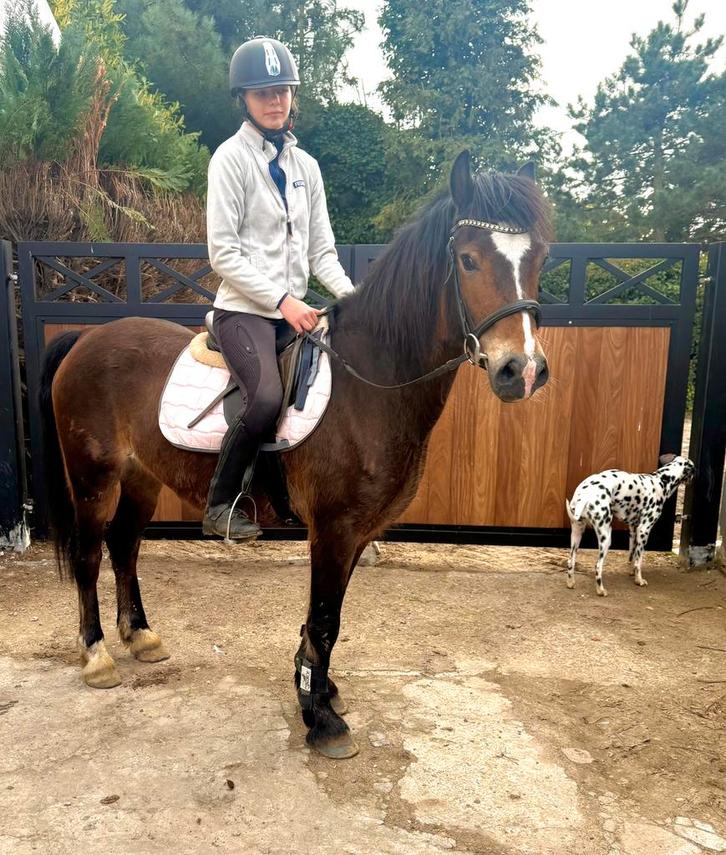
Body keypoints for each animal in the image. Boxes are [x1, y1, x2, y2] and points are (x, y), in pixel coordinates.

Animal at [39, 151, 553, 759]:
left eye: (539, 257)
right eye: (469, 260)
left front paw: (320, 691)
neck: (370, 383)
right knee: (90, 555)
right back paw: (97, 656)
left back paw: (141, 636)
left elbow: (327, 619)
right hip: (94, 479)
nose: (522, 371)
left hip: (142, 478)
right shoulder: (333, 528)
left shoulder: (357, 533)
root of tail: (85, 339)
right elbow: (325, 619)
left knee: (124, 547)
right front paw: (321, 718)